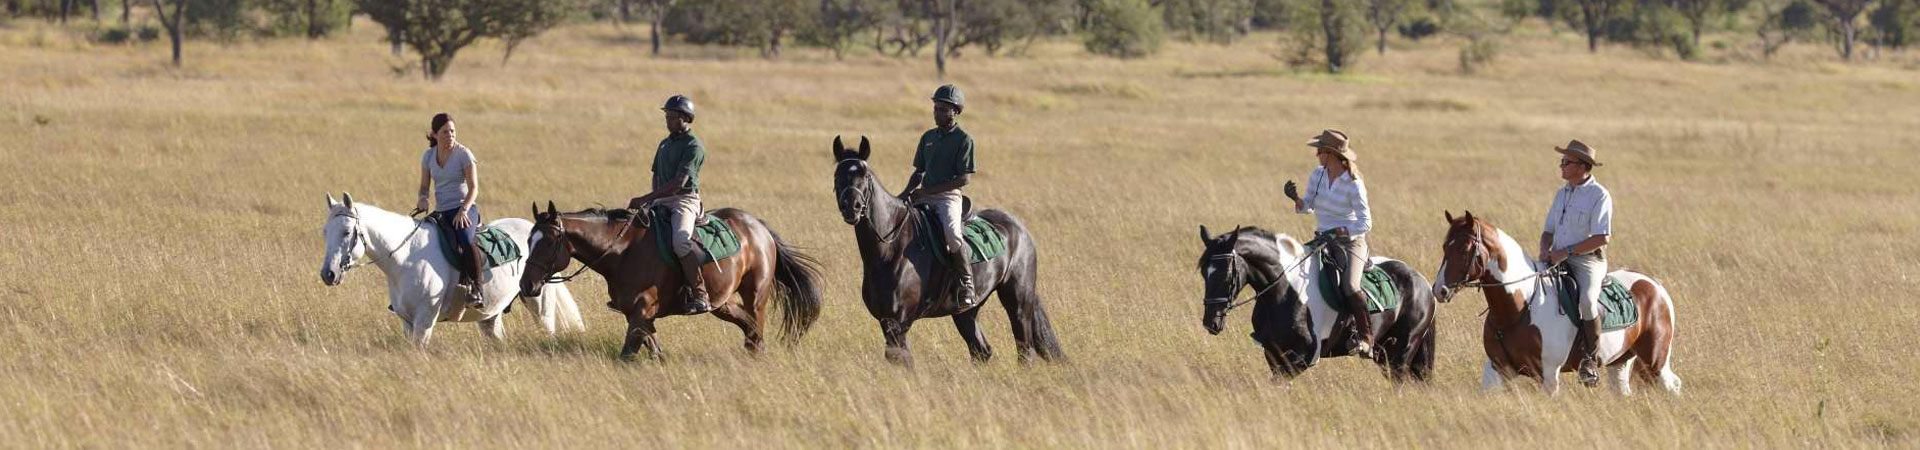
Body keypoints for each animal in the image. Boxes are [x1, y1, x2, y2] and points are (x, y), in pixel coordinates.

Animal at [320, 192, 583, 344]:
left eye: (346, 232)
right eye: (325, 232)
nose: (328, 274)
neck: (406, 258)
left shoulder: (424, 321)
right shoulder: (407, 322)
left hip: (539, 304)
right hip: (491, 315)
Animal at [518, 201, 825, 359]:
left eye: (548, 243)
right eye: (529, 240)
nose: (526, 286)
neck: (623, 251)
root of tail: (758, 226)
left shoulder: (642, 310)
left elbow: (628, 353)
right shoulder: (639, 315)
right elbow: (652, 349)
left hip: (755, 294)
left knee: (756, 326)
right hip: (721, 303)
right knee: (748, 326)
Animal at [825, 136, 1067, 365]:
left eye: (864, 174)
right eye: (837, 175)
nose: (852, 207)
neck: (889, 250)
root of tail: (1020, 228)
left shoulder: (899, 323)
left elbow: (904, 362)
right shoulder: (885, 321)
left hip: (1018, 301)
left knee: (1024, 351)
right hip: (966, 313)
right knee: (981, 351)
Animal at [1190, 226, 1436, 380]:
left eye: (1226, 275)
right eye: (1203, 273)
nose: (1211, 322)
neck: (1283, 290)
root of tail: (1423, 283)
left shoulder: (1302, 357)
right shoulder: (1273, 353)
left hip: (1400, 353)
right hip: (1383, 353)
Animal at [1428, 210, 1681, 394]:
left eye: (1465, 249)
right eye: (1444, 247)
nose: (1439, 290)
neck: (1518, 308)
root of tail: (1654, 285)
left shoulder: (1549, 374)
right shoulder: (1497, 369)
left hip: (1655, 362)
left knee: (1672, 385)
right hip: (1619, 362)